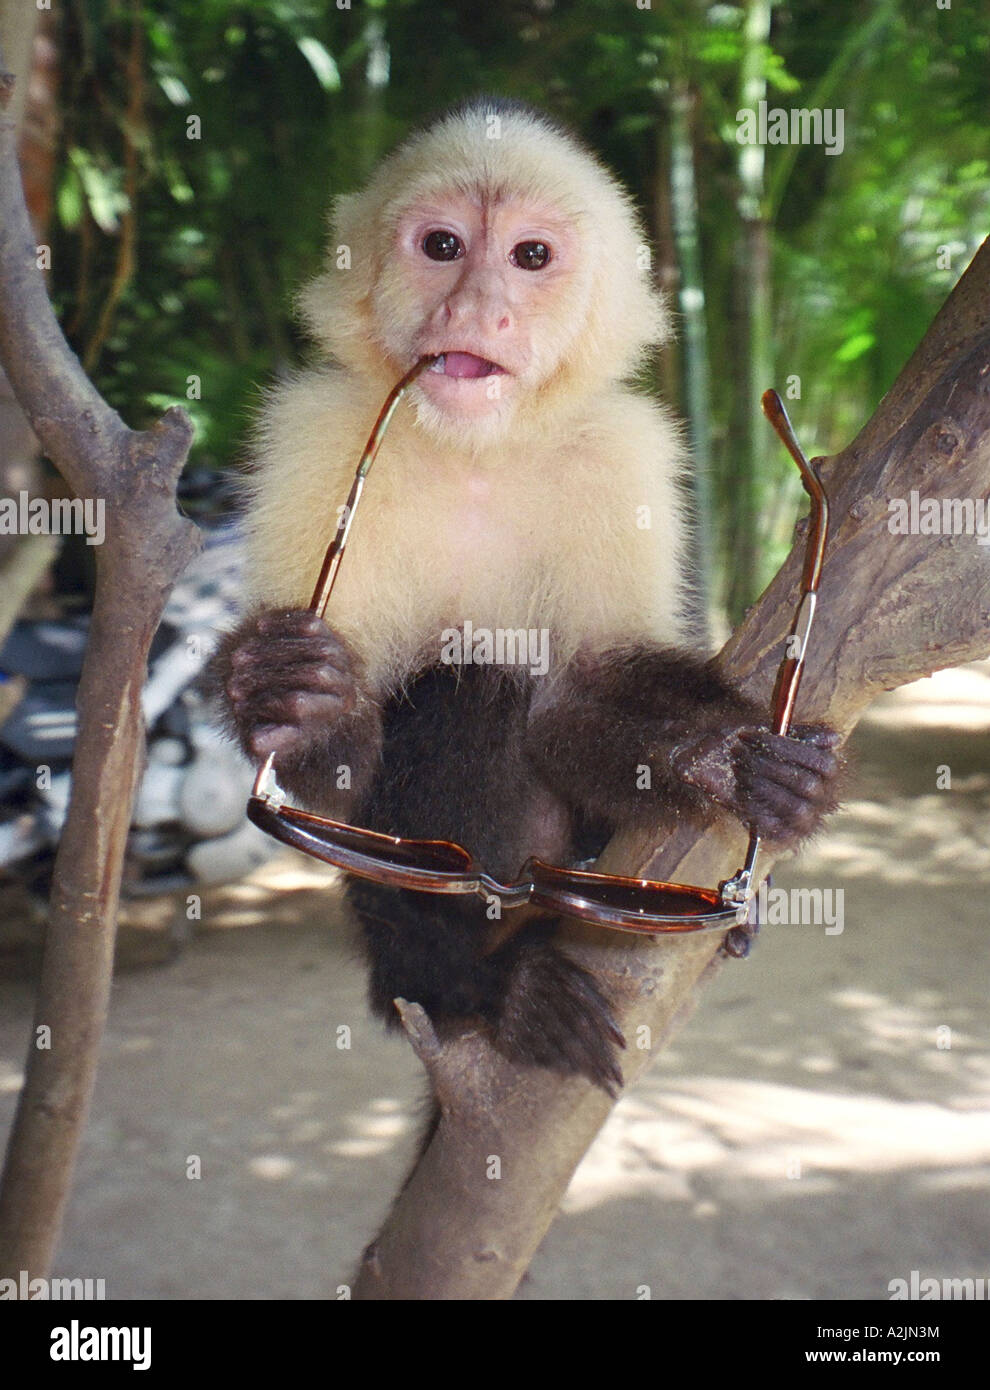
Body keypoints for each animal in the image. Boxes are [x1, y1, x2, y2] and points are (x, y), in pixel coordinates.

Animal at [212, 97, 839, 1095]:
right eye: (441, 245)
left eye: (530, 256)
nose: (475, 308)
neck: (480, 449)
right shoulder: (318, 432)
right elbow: (332, 780)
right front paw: (293, 695)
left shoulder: (624, 449)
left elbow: (585, 692)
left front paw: (736, 765)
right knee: (468, 693)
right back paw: (480, 984)